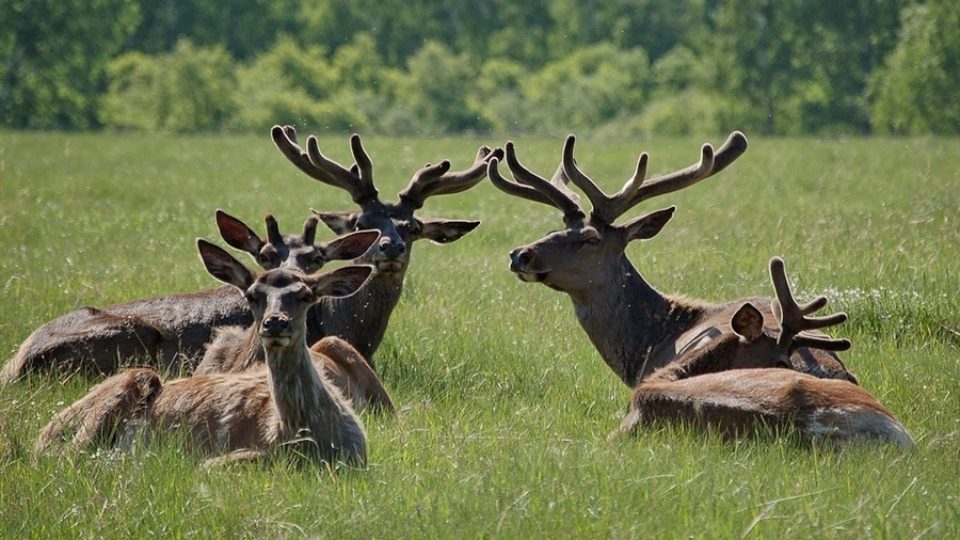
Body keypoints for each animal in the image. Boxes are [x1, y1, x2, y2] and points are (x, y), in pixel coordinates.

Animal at [33, 240, 374, 468]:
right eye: (252, 295)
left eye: (305, 295)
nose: (275, 322)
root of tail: (49, 426)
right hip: (129, 382)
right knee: (64, 456)